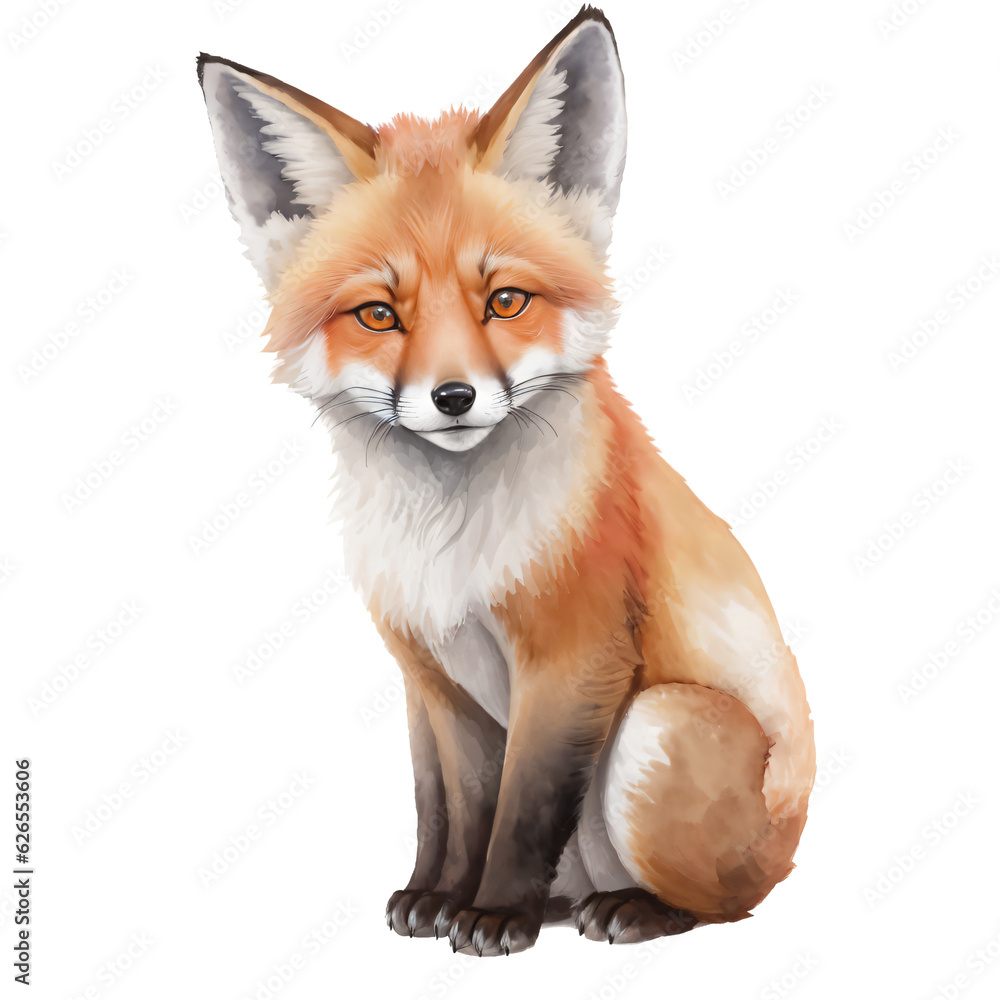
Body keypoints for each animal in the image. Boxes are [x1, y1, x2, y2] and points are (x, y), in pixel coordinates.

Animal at [197, 5, 815, 957]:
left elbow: (523, 806)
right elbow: (450, 807)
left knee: (726, 904)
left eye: (506, 302)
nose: (453, 397)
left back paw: (634, 909)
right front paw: (435, 896)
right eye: (380, 314)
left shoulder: (573, 657)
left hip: (657, 727)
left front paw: (491, 913)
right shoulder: (429, 676)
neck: (448, 547)